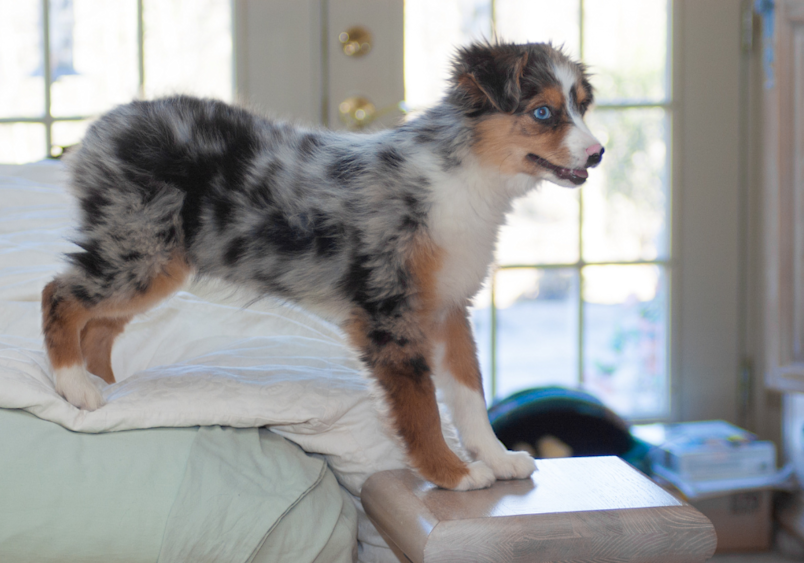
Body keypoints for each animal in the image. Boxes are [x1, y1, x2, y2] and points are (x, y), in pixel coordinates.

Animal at [40, 41, 600, 492]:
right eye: (543, 112)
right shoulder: (388, 313)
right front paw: (451, 474)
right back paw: (74, 386)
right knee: (59, 293)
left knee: (101, 324)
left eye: (581, 106)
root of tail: (102, 128)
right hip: (140, 250)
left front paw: (498, 459)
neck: (469, 180)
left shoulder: (447, 308)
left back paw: (107, 386)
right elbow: (420, 407)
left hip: (153, 260)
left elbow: (469, 395)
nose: (597, 154)